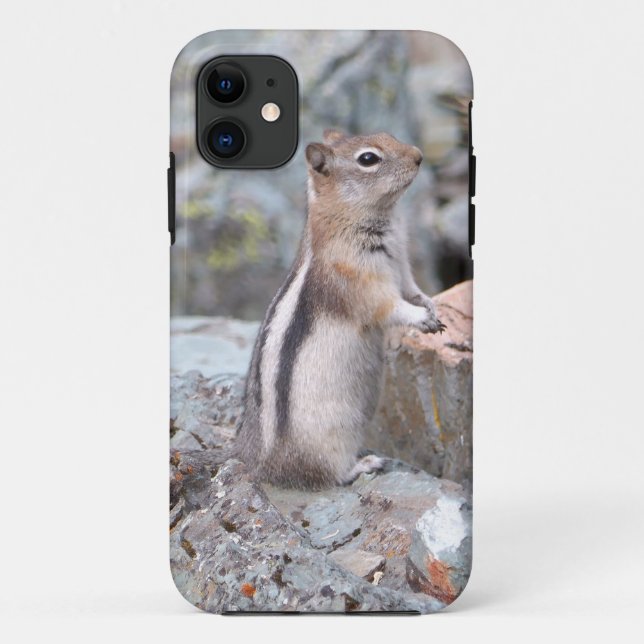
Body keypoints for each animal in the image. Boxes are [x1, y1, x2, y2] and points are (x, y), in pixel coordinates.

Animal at [234, 130, 445, 489]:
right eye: (368, 159)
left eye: (389, 135)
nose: (419, 156)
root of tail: (265, 469)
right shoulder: (362, 283)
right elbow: (389, 307)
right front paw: (420, 318)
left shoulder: (402, 266)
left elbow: (412, 291)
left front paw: (431, 306)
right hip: (333, 435)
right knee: (328, 473)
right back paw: (365, 464)